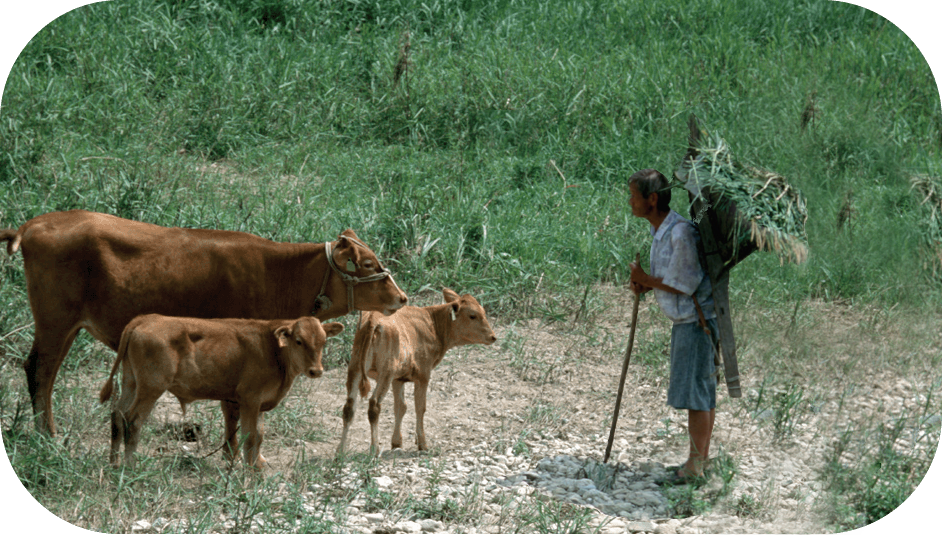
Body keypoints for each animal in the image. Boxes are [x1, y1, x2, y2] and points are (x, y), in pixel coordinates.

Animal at [2, 209, 410, 436]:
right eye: (369, 264)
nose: (402, 297)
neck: (278, 271)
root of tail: (34, 224)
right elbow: (233, 410)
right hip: (56, 321)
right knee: (40, 371)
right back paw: (48, 436)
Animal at [100, 314, 342, 468]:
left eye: (323, 341)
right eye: (299, 341)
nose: (316, 370)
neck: (274, 350)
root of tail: (146, 318)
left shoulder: (255, 402)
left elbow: (258, 435)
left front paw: (257, 465)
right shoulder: (250, 399)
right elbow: (250, 437)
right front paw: (250, 472)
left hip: (131, 382)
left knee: (117, 414)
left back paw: (114, 463)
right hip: (151, 387)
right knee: (133, 420)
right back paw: (130, 466)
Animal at [340, 288, 502, 456]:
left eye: (483, 312)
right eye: (472, 315)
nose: (493, 336)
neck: (433, 325)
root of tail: (373, 319)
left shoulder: (398, 378)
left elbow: (401, 407)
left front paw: (396, 442)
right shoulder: (423, 375)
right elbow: (420, 407)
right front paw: (423, 444)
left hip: (355, 368)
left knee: (349, 407)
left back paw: (340, 451)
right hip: (385, 372)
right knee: (374, 405)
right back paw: (374, 450)